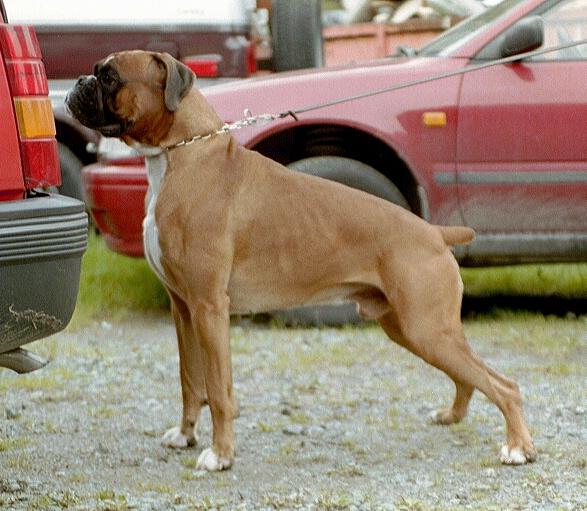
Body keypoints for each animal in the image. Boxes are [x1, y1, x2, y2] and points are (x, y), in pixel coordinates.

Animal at [65, 51, 536, 472]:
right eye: (97, 73)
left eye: (109, 77)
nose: (77, 83)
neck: (182, 153)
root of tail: (434, 232)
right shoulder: (182, 308)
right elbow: (189, 380)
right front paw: (184, 435)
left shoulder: (209, 308)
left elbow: (217, 388)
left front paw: (221, 455)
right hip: (410, 328)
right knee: (471, 375)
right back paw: (453, 416)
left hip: (427, 328)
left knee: (505, 385)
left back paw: (517, 448)